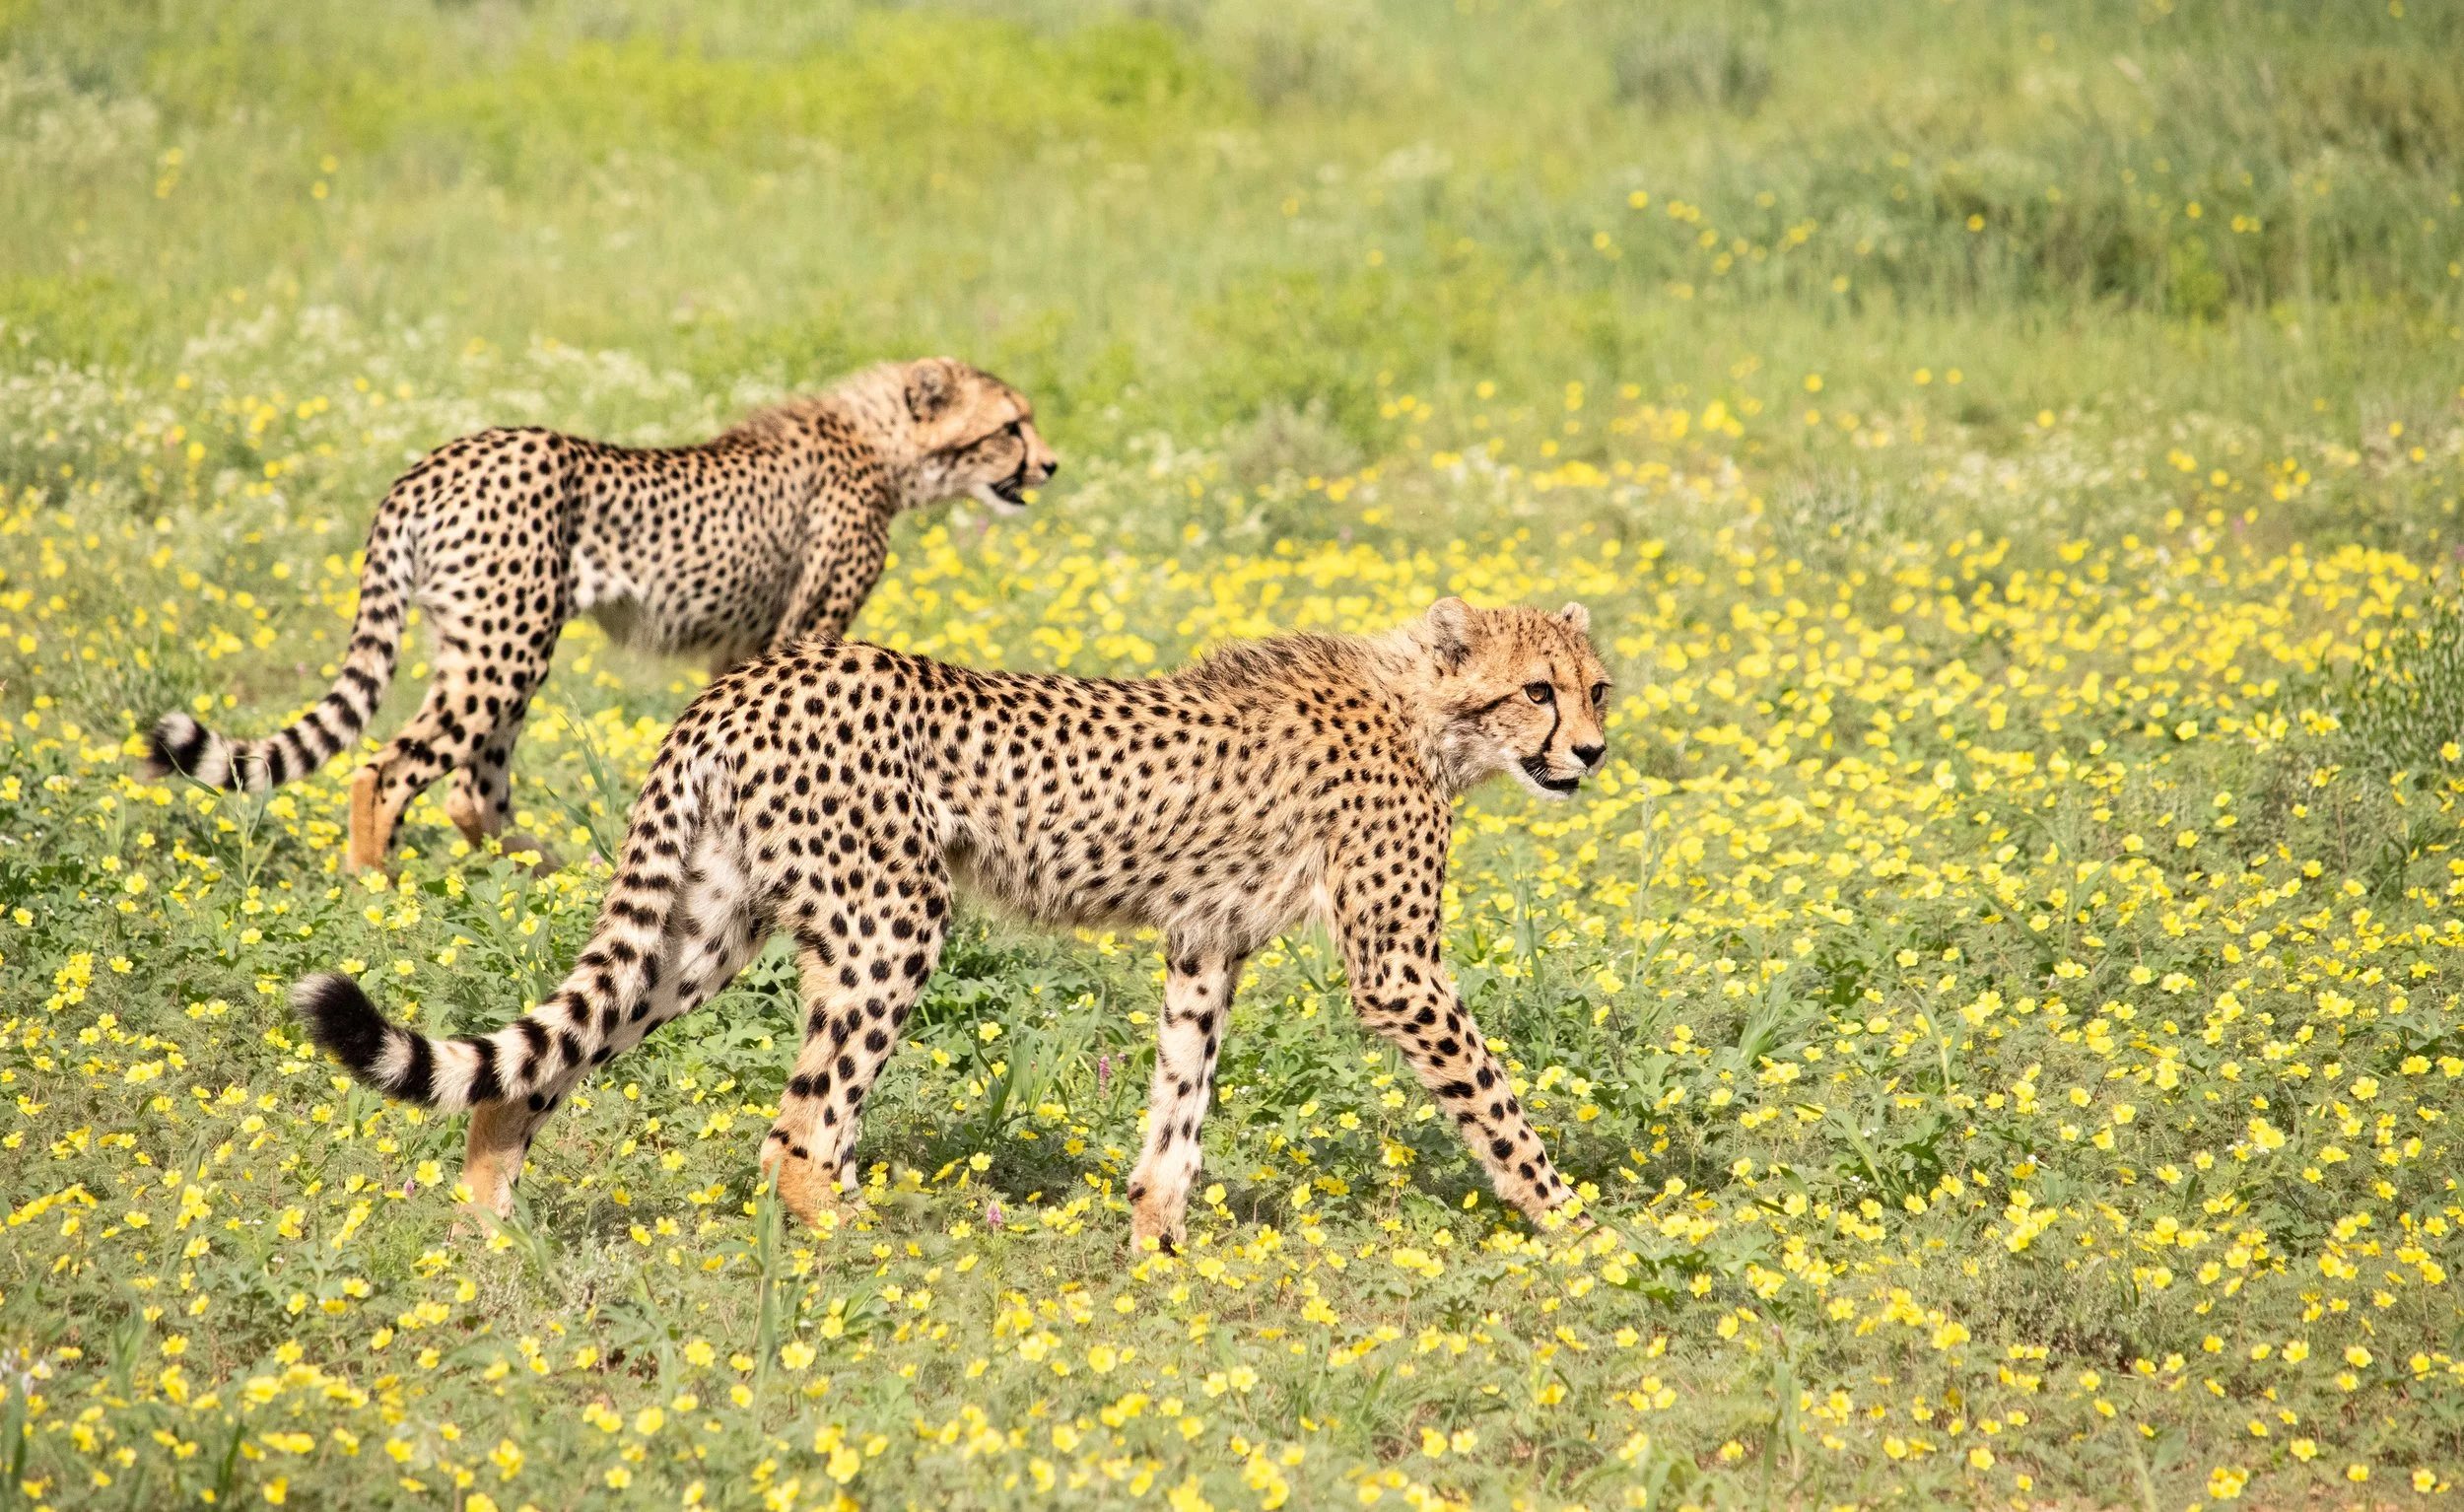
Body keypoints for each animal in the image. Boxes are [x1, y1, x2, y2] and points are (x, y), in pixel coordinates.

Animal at [141, 357, 1057, 873]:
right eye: (1012, 425)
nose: (1049, 464)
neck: (880, 442)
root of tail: (431, 463)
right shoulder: (810, 627)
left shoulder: (745, 652)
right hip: (508, 646)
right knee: (388, 768)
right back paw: (374, 887)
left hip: (483, 642)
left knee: (471, 791)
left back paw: (544, 873)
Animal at [294, 595, 1610, 1250]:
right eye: (1537, 690)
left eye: (1598, 687)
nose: (1594, 752)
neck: (1426, 707)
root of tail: (745, 682)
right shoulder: (1397, 968)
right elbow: (1494, 1101)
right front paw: (1576, 1227)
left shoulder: (1204, 941)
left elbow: (1179, 1099)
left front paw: (1157, 1242)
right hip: (893, 919)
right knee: (797, 1133)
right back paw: (879, 1244)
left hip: (707, 928)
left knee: (542, 1061)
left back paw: (488, 1232)